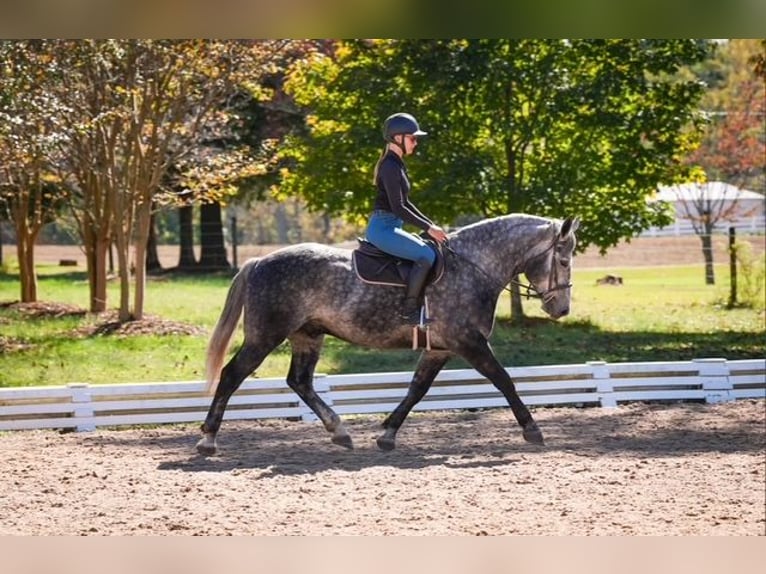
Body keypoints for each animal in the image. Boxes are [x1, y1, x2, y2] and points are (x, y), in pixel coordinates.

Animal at [196, 213, 579, 456]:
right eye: (563, 261)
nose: (561, 309)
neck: (472, 268)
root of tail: (259, 262)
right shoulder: (469, 343)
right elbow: (504, 380)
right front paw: (532, 430)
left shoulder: (440, 348)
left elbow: (416, 389)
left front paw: (387, 434)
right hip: (265, 336)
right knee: (232, 375)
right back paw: (208, 440)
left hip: (308, 335)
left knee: (300, 381)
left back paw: (340, 432)